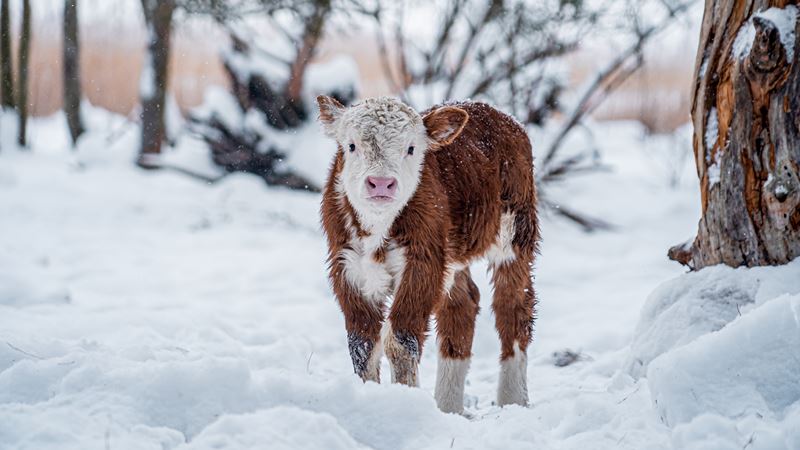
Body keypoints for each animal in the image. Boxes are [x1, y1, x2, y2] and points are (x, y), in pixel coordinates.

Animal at [317, 95, 538, 414]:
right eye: (351, 145)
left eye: (411, 148)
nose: (381, 183)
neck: (377, 228)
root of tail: (491, 111)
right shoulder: (347, 265)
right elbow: (363, 343)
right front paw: (369, 399)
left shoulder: (424, 261)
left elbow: (400, 339)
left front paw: (401, 402)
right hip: (455, 254)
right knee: (463, 304)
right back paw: (448, 407)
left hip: (515, 227)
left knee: (514, 305)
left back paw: (513, 399)